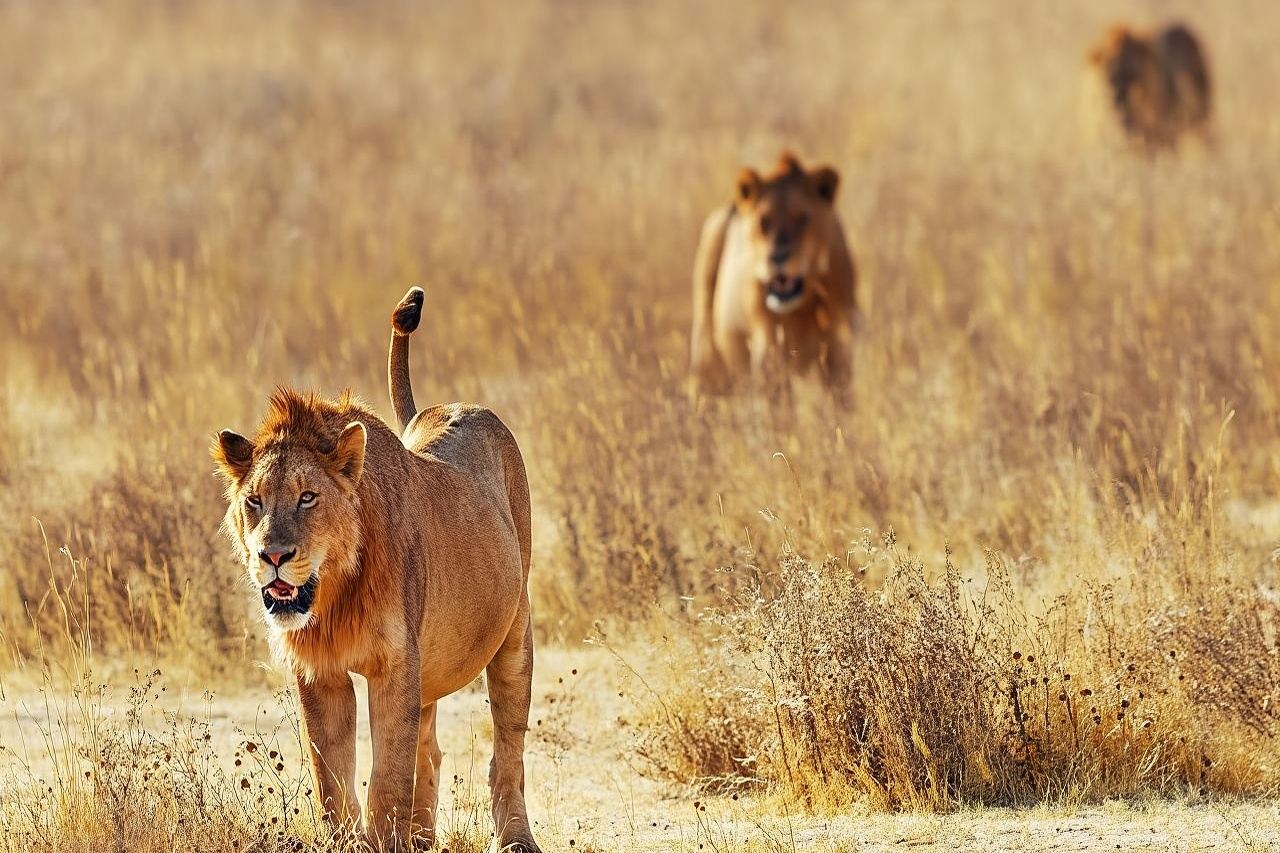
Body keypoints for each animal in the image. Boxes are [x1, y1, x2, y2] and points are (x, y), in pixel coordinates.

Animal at [212, 287, 542, 853]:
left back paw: (516, 837)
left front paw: (384, 837)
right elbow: (332, 782)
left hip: (514, 634)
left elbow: (387, 781)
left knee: (507, 751)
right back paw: (423, 838)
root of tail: (446, 407)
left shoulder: (395, 665)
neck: (335, 594)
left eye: (307, 497)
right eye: (254, 501)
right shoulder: (319, 672)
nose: (272, 556)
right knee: (430, 749)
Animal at [690, 151, 857, 403]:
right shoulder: (769, 347)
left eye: (802, 218)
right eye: (763, 221)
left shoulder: (839, 344)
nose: (777, 256)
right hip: (708, 358)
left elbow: (842, 400)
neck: (802, 305)